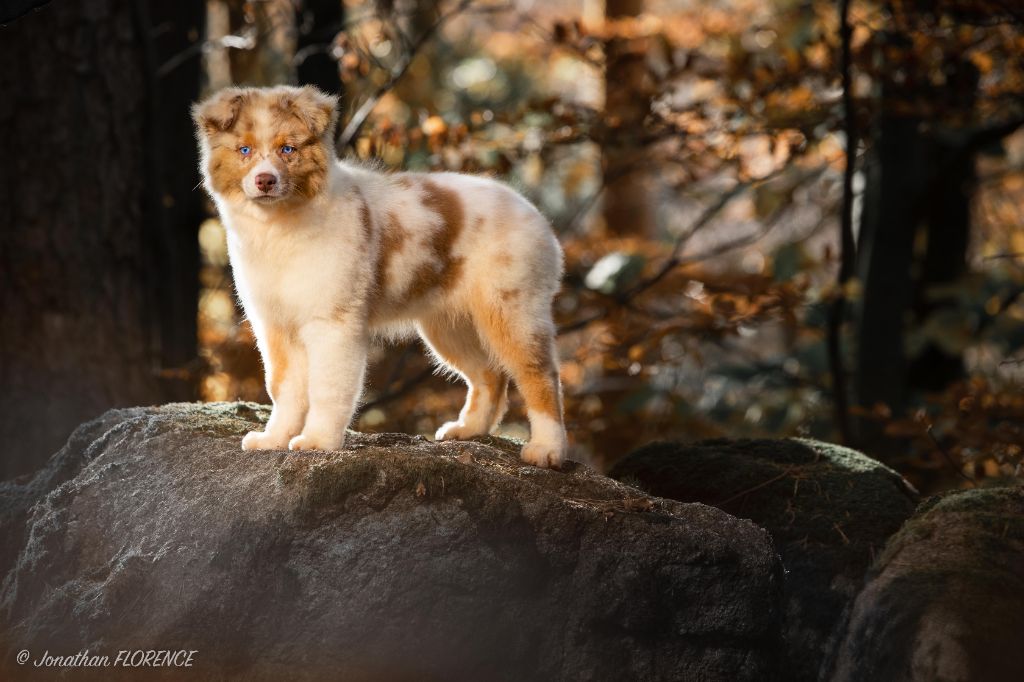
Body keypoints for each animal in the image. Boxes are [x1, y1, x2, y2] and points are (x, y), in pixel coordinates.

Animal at [192, 83, 569, 466]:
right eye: (245, 150)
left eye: (288, 149)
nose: (265, 180)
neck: (280, 229)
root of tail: (536, 215)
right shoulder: (276, 326)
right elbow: (284, 388)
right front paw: (274, 439)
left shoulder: (333, 323)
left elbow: (327, 387)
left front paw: (317, 441)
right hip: (450, 325)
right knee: (489, 375)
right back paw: (468, 429)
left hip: (512, 310)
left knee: (540, 376)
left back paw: (547, 449)